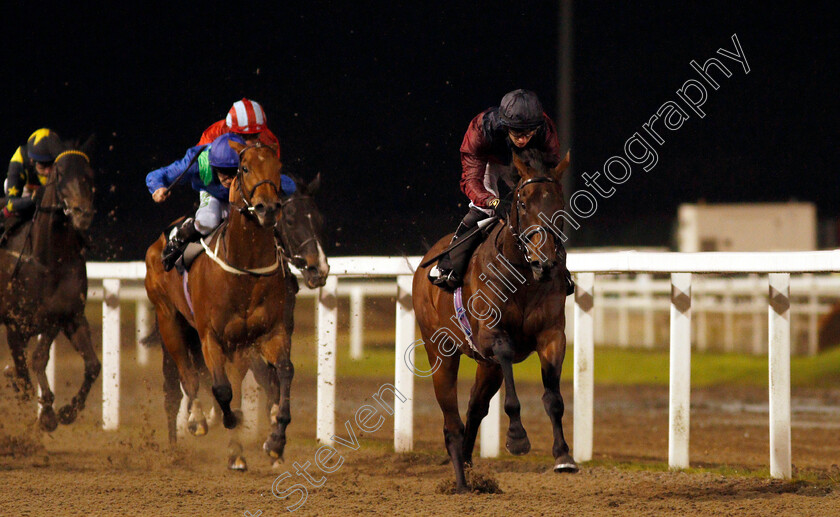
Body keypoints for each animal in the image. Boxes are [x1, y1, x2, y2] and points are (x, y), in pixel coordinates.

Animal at [0, 135, 99, 430]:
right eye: (60, 174)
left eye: (89, 174)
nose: (82, 213)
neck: (48, 260)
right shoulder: (15, 325)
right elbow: (27, 372)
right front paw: (45, 413)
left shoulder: (67, 315)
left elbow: (91, 365)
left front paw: (65, 411)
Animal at [144, 140, 308, 468]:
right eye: (244, 168)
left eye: (278, 168)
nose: (268, 208)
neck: (245, 268)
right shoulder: (211, 336)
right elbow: (220, 389)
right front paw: (225, 424)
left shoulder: (268, 333)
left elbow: (284, 371)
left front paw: (275, 440)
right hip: (170, 321)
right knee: (186, 378)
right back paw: (195, 422)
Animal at [414, 147, 576, 490]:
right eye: (523, 202)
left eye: (559, 203)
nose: (544, 262)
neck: (523, 277)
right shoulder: (492, 337)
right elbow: (510, 390)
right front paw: (517, 437)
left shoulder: (552, 335)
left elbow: (553, 397)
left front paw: (563, 456)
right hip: (440, 354)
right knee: (452, 421)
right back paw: (461, 483)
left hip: (486, 367)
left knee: (474, 409)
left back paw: (470, 468)